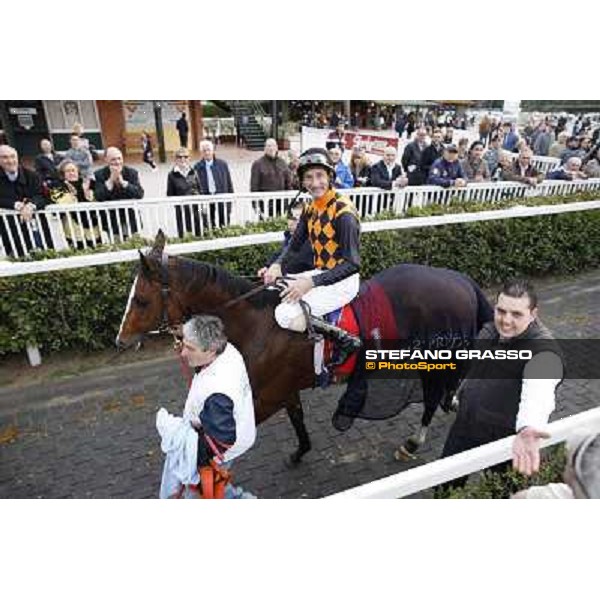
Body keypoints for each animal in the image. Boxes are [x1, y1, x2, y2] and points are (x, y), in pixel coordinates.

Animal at [116, 232, 492, 462]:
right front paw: (301, 451)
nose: (120, 340)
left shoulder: (265, 397)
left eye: (141, 299)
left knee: (430, 399)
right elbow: (297, 418)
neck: (257, 322)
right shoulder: (283, 389)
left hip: (434, 362)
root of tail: (462, 280)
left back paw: (413, 441)